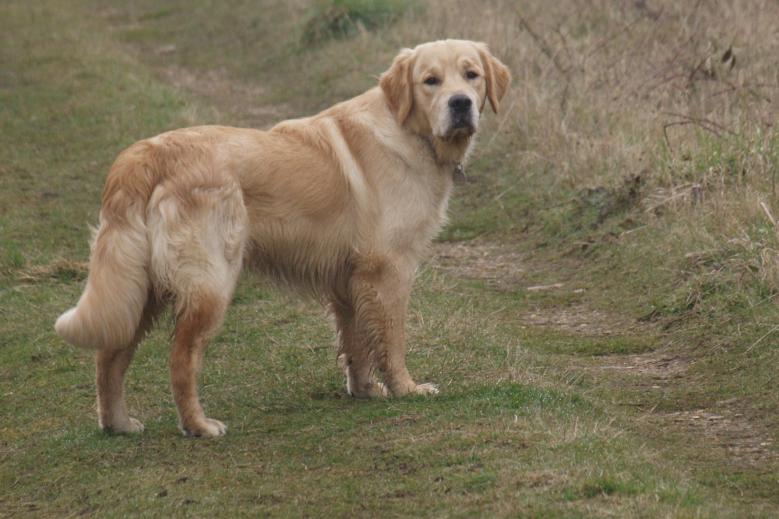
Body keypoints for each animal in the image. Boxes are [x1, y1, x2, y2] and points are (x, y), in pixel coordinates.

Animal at [58, 39, 516, 434]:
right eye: (430, 80)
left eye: (471, 75)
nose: (461, 103)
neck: (408, 132)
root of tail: (144, 155)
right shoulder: (389, 270)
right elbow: (391, 339)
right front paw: (406, 388)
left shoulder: (350, 278)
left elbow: (356, 342)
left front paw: (365, 390)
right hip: (210, 283)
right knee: (180, 360)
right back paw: (199, 426)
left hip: (141, 286)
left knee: (110, 354)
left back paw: (117, 424)